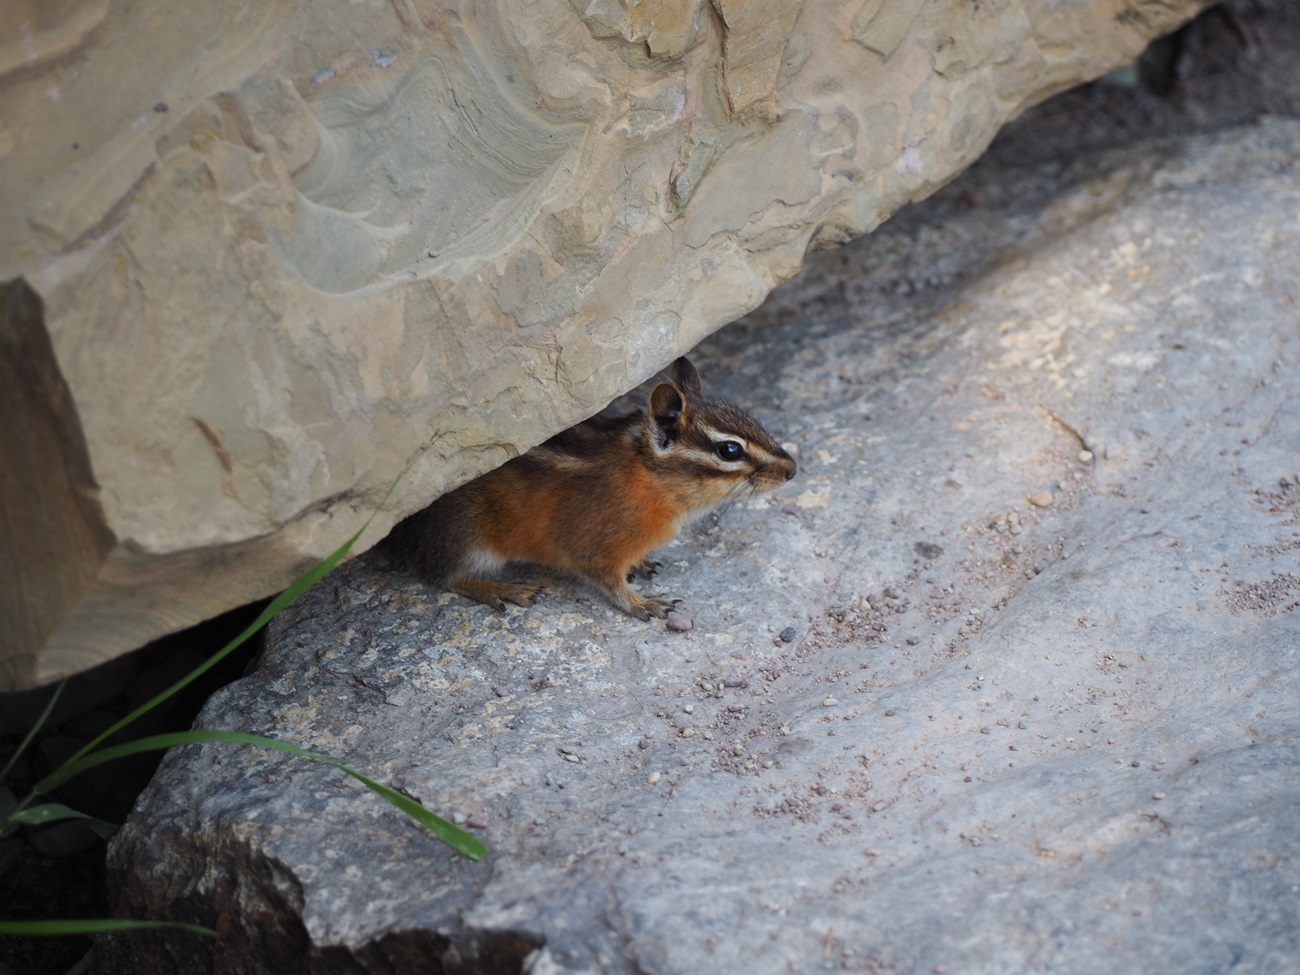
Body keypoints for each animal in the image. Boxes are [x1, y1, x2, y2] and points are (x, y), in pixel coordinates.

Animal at [382, 357, 797, 619]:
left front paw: (641, 564)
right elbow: (608, 583)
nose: (792, 470)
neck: (646, 480)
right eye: (729, 450)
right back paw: (501, 589)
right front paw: (641, 604)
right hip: (465, 535)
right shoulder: (590, 546)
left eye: (750, 417)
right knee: (443, 575)